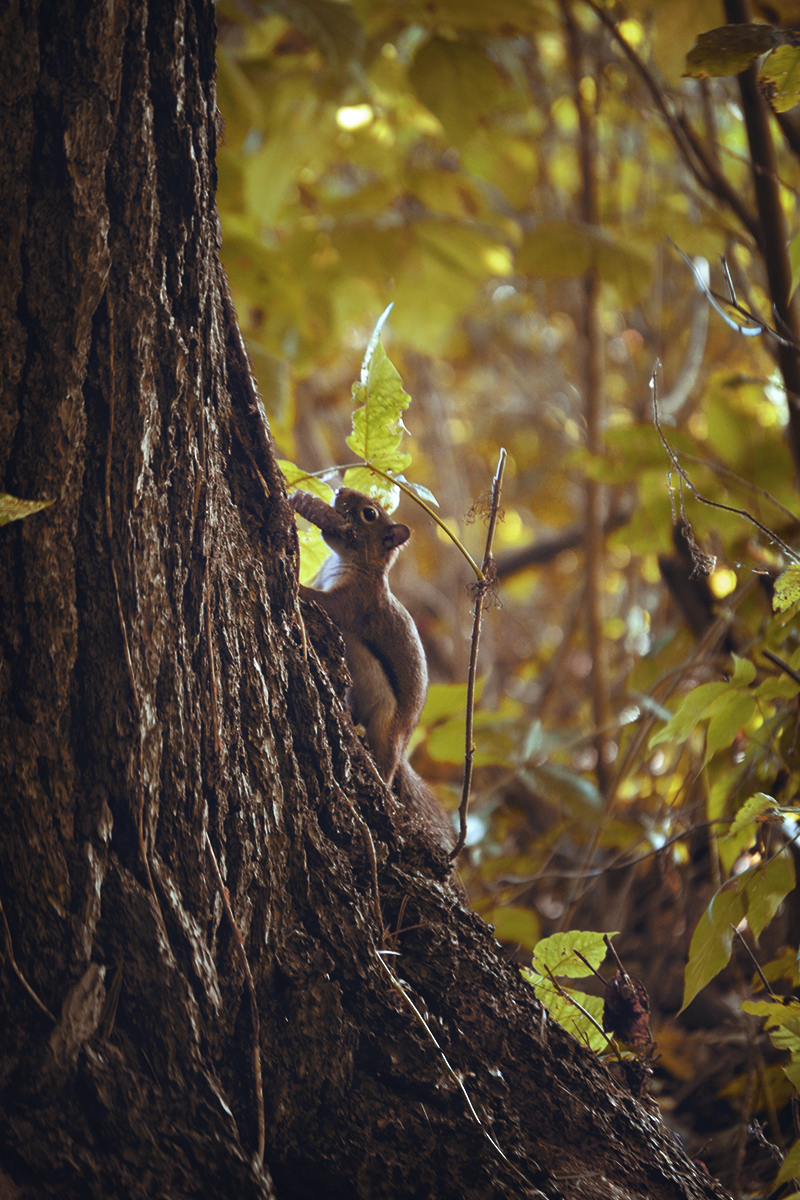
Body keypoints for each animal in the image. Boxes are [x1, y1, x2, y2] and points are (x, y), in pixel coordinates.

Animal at [292, 487, 455, 854]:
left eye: (369, 514)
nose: (340, 490)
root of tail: (404, 739)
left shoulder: (356, 602)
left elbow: (327, 604)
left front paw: (296, 585)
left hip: (385, 729)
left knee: (386, 766)